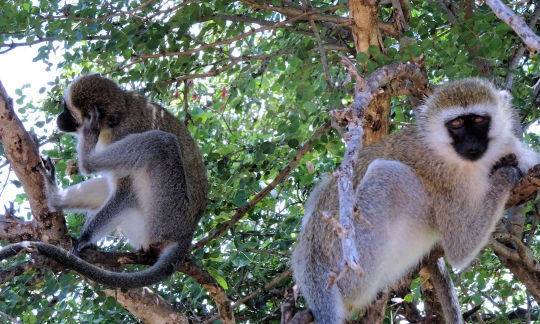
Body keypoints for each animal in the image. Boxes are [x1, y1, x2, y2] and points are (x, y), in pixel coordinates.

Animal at [3, 74, 208, 288]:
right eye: (64, 108)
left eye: (69, 112)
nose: (60, 118)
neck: (117, 117)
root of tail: (186, 235)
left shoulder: (123, 134)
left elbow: (125, 192)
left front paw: (84, 238)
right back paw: (55, 198)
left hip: (164, 215)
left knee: (160, 142)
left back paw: (87, 162)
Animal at [292, 79, 540, 324]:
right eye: (457, 123)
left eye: (479, 120)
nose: (471, 145)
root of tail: (311, 266)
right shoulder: (444, 178)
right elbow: (459, 246)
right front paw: (505, 174)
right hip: (354, 271)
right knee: (388, 175)